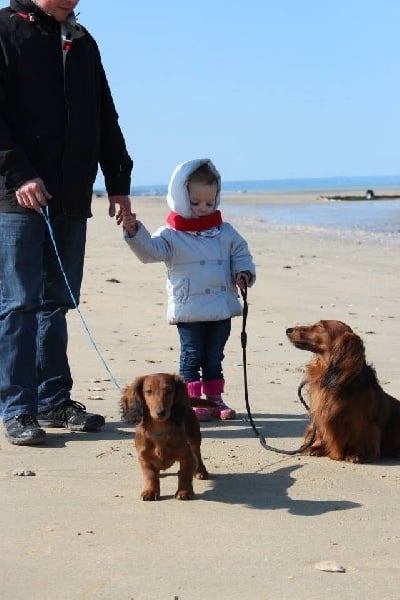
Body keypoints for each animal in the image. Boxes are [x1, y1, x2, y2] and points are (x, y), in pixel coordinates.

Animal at [119, 372, 208, 500]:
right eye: (149, 391)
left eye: (169, 391)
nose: (161, 412)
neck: (159, 430)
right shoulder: (144, 458)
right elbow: (150, 475)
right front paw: (150, 491)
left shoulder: (187, 455)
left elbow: (184, 474)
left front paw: (184, 491)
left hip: (194, 437)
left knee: (198, 454)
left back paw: (201, 471)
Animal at [286, 318, 400, 464]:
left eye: (319, 326)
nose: (288, 330)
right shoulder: (320, 414)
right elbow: (321, 433)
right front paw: (317, 447)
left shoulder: (362, 421)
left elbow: (361, 435)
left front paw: (358, 453)